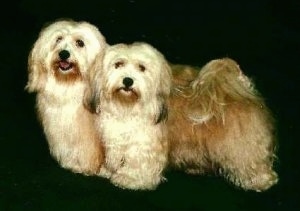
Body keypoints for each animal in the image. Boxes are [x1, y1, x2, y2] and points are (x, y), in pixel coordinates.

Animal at [85, 41, 172, 190]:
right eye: (118, 64)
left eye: (142, 67)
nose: (127, 81)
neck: (126, 108)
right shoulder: (114, 139)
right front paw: (108, 170)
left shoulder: (143, 142)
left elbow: (136, 159)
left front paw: (130, 178)